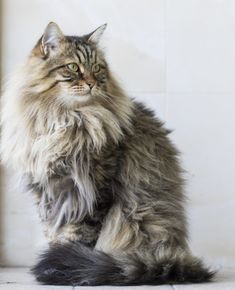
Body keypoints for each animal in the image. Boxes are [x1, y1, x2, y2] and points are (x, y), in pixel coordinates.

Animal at [0, 22, 214, 286]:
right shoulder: (46, 190)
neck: (65, 119)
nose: (92, 83)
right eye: (73, 67)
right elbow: (52, 231)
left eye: (97, 68)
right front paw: (53, 264)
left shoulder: (93, 190)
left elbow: (79, 236)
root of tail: (177, 253)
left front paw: (64, 265)